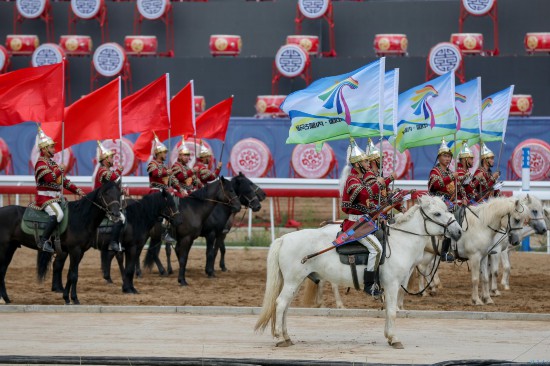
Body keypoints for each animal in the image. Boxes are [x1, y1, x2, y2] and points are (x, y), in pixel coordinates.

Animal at [50, 189, 182, 294]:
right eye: (170, 204)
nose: (178, 220)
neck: (137, 218)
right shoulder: (132, 247)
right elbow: (129, 268)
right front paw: (128, 289)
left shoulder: (133, 248)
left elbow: (128, 266)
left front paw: (127, 286)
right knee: (58, 264)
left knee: (57, 264)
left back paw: (58, 288)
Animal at [256, 194, 464, 348]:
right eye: (437, 213)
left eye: (447, 210)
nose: (459, 232)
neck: (400, 241)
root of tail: (284, 238)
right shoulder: (392, 285)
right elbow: (392, 311)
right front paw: (394, 339)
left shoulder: (393, 286)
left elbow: (388, 311)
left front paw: (389, 336)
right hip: (293, 280)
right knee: (280, 304)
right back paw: (280, 337)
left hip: (295, 281)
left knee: (285, 307)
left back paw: (287, 336)